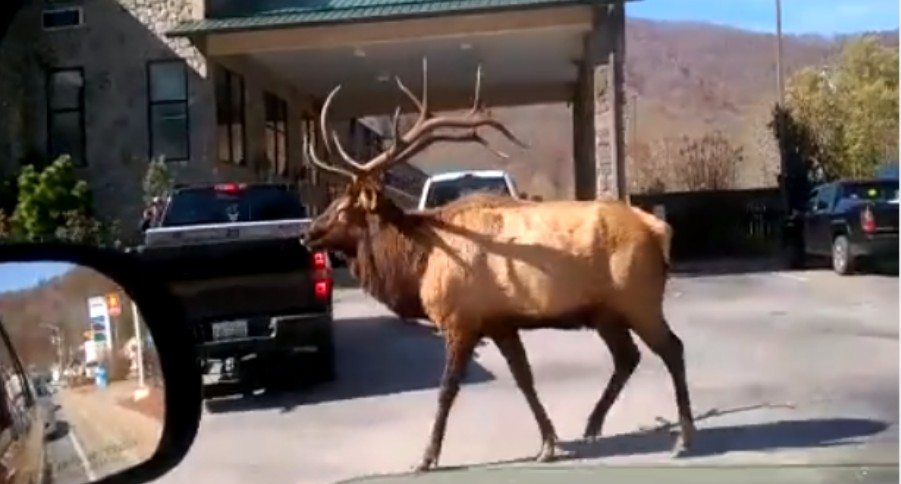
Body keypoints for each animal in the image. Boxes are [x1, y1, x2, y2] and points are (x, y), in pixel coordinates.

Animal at [302, 58, 696, 470]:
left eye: (344, 207)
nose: (308, 233)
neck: (418, 261)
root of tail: (659, 229)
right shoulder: (500, 322)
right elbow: (524, 378)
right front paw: (549, 442)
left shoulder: (461, 320)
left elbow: (447, 390)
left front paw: (426, 457)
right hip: (606, 312)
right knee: (628, 357)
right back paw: (592, 426)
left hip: (640, 300)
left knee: (673, 349)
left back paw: (683, 437)